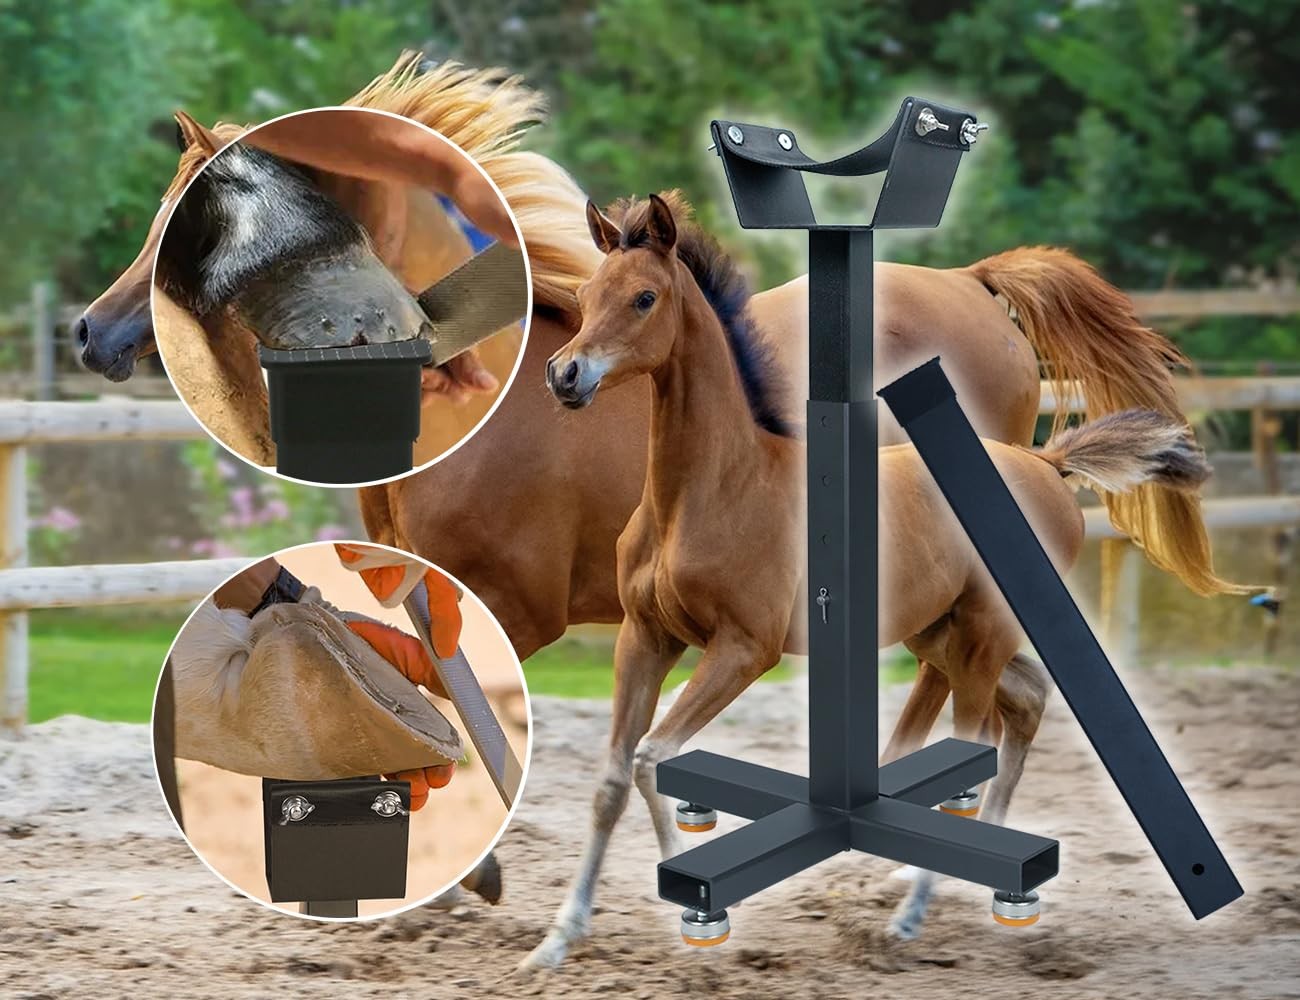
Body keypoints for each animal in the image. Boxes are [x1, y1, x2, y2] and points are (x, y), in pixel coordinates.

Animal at [529, 191, 1217, 966]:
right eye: (586, 295)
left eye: (644, 298)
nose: (565, 375)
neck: (714, 487)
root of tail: (1047, 463)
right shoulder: (645, 638)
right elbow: (614, 775)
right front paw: (558, 937)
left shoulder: (744, 648)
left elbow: (653, 757)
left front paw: (695, 903)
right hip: (942, 634)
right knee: (1027, 700)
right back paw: (990, 888)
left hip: (980, 637)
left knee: (983, 738)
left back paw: (916, 908)